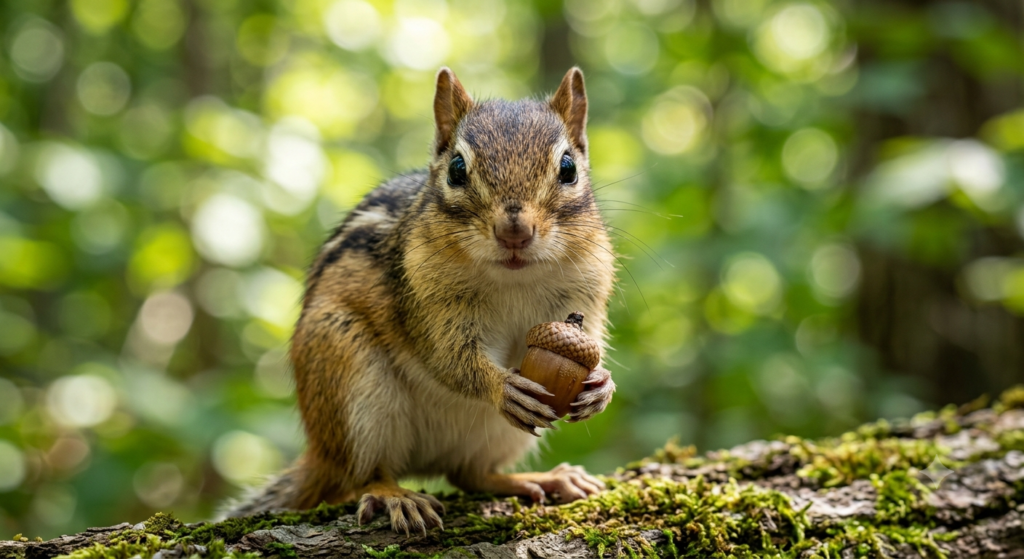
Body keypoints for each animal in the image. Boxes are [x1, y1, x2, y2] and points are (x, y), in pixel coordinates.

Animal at [221, 67, 617, 535]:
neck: (513, 279)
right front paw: (500, 386)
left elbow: (591, 341)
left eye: (569, 168)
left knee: (470, 474)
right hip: (350, 381)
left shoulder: (583, 296)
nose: (514, 231)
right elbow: (448, 358)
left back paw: (540, 479)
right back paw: (396, 496)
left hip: (502, 436)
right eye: (457, 169)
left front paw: (601, 386)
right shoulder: (424, 302)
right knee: (363, 474)